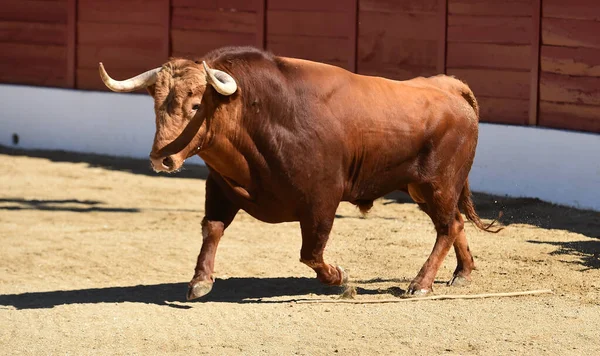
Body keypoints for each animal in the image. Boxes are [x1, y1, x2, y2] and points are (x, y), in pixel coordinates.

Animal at [98, 46, 500, 298]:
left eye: (196, 104)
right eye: (156, 104)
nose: (160, 160)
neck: (257, 116)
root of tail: (449, 87)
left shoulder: (321, 201)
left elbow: (311, 252)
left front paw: (341, 278)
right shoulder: (221, 190)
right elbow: (211, 230)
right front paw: (200, 281)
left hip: (438, 184)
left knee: (447, 227)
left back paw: (421, 283)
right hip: (422, 188)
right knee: (455, 224)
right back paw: (462, 274)